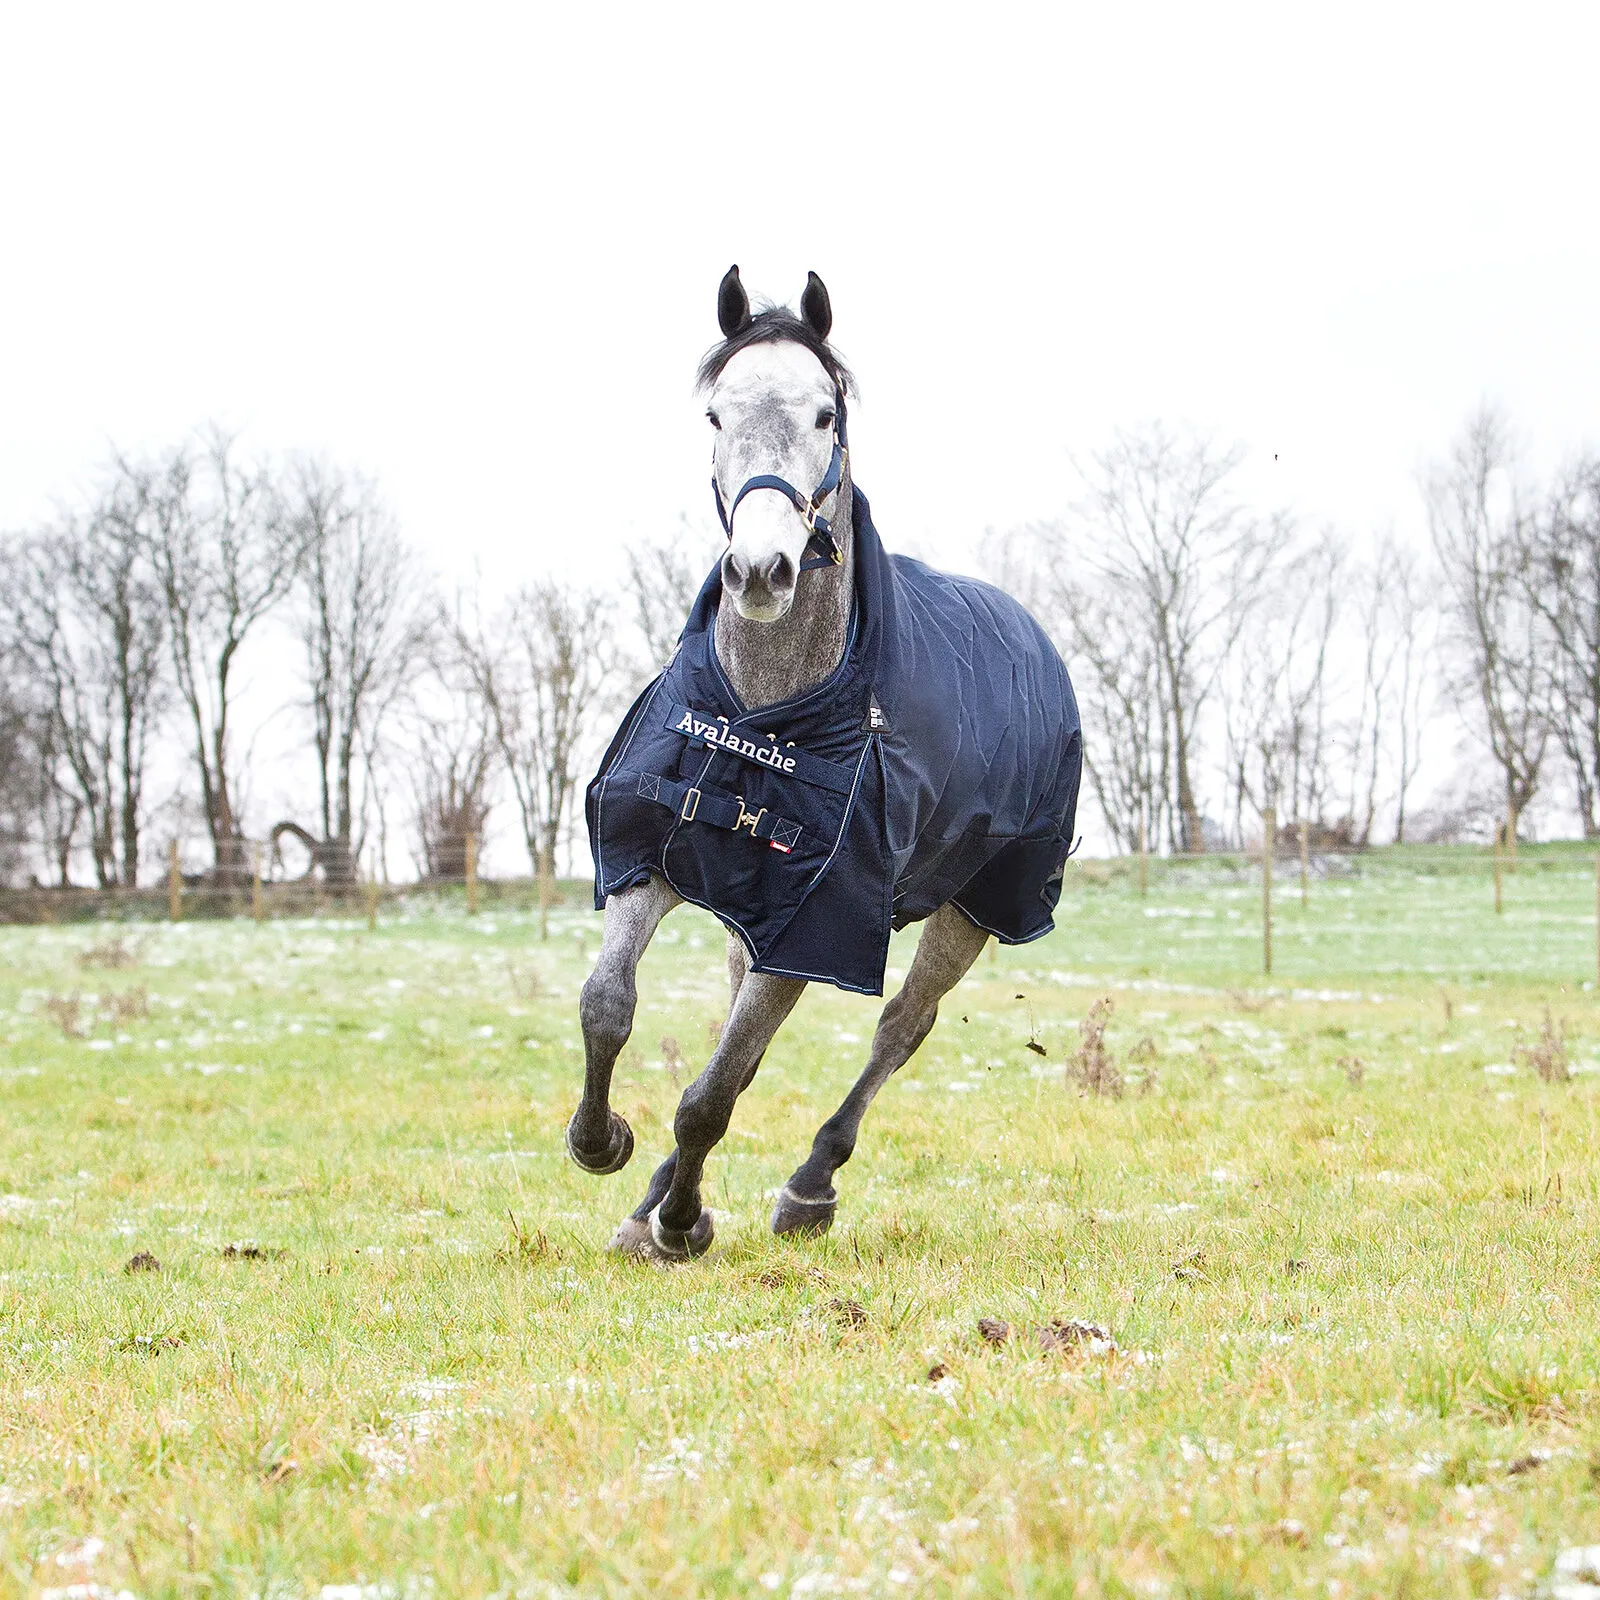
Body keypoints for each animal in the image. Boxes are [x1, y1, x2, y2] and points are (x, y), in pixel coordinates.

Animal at [569, 265, 1081, 1260]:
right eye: (716, 414)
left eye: (824, 414)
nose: (761, 570)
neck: (763, 715)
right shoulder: (660, 860)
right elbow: (610, 1005)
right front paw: (606, 1147)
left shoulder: (812, 926)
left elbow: (710, 1095)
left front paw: (682, 1223)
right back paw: (655, 1200)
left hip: (972, 911)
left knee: (899, 1030)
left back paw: (808, 1187)